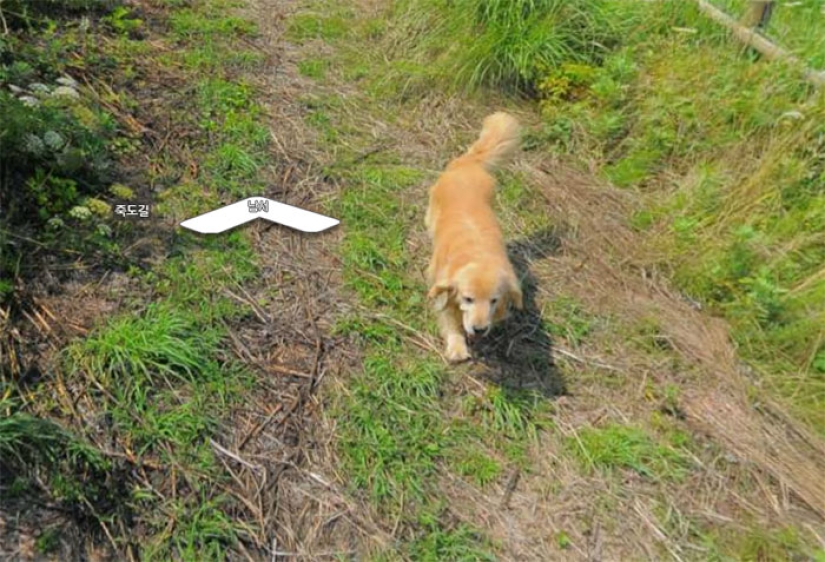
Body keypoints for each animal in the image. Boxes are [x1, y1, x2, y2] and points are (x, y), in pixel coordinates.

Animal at [424, 111, 520, 360]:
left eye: (493, 300)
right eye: (468, 299)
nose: (479, 329)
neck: (478, 255)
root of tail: (471, 163)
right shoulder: (443, 290)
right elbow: (450, 320)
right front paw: (457, 347)